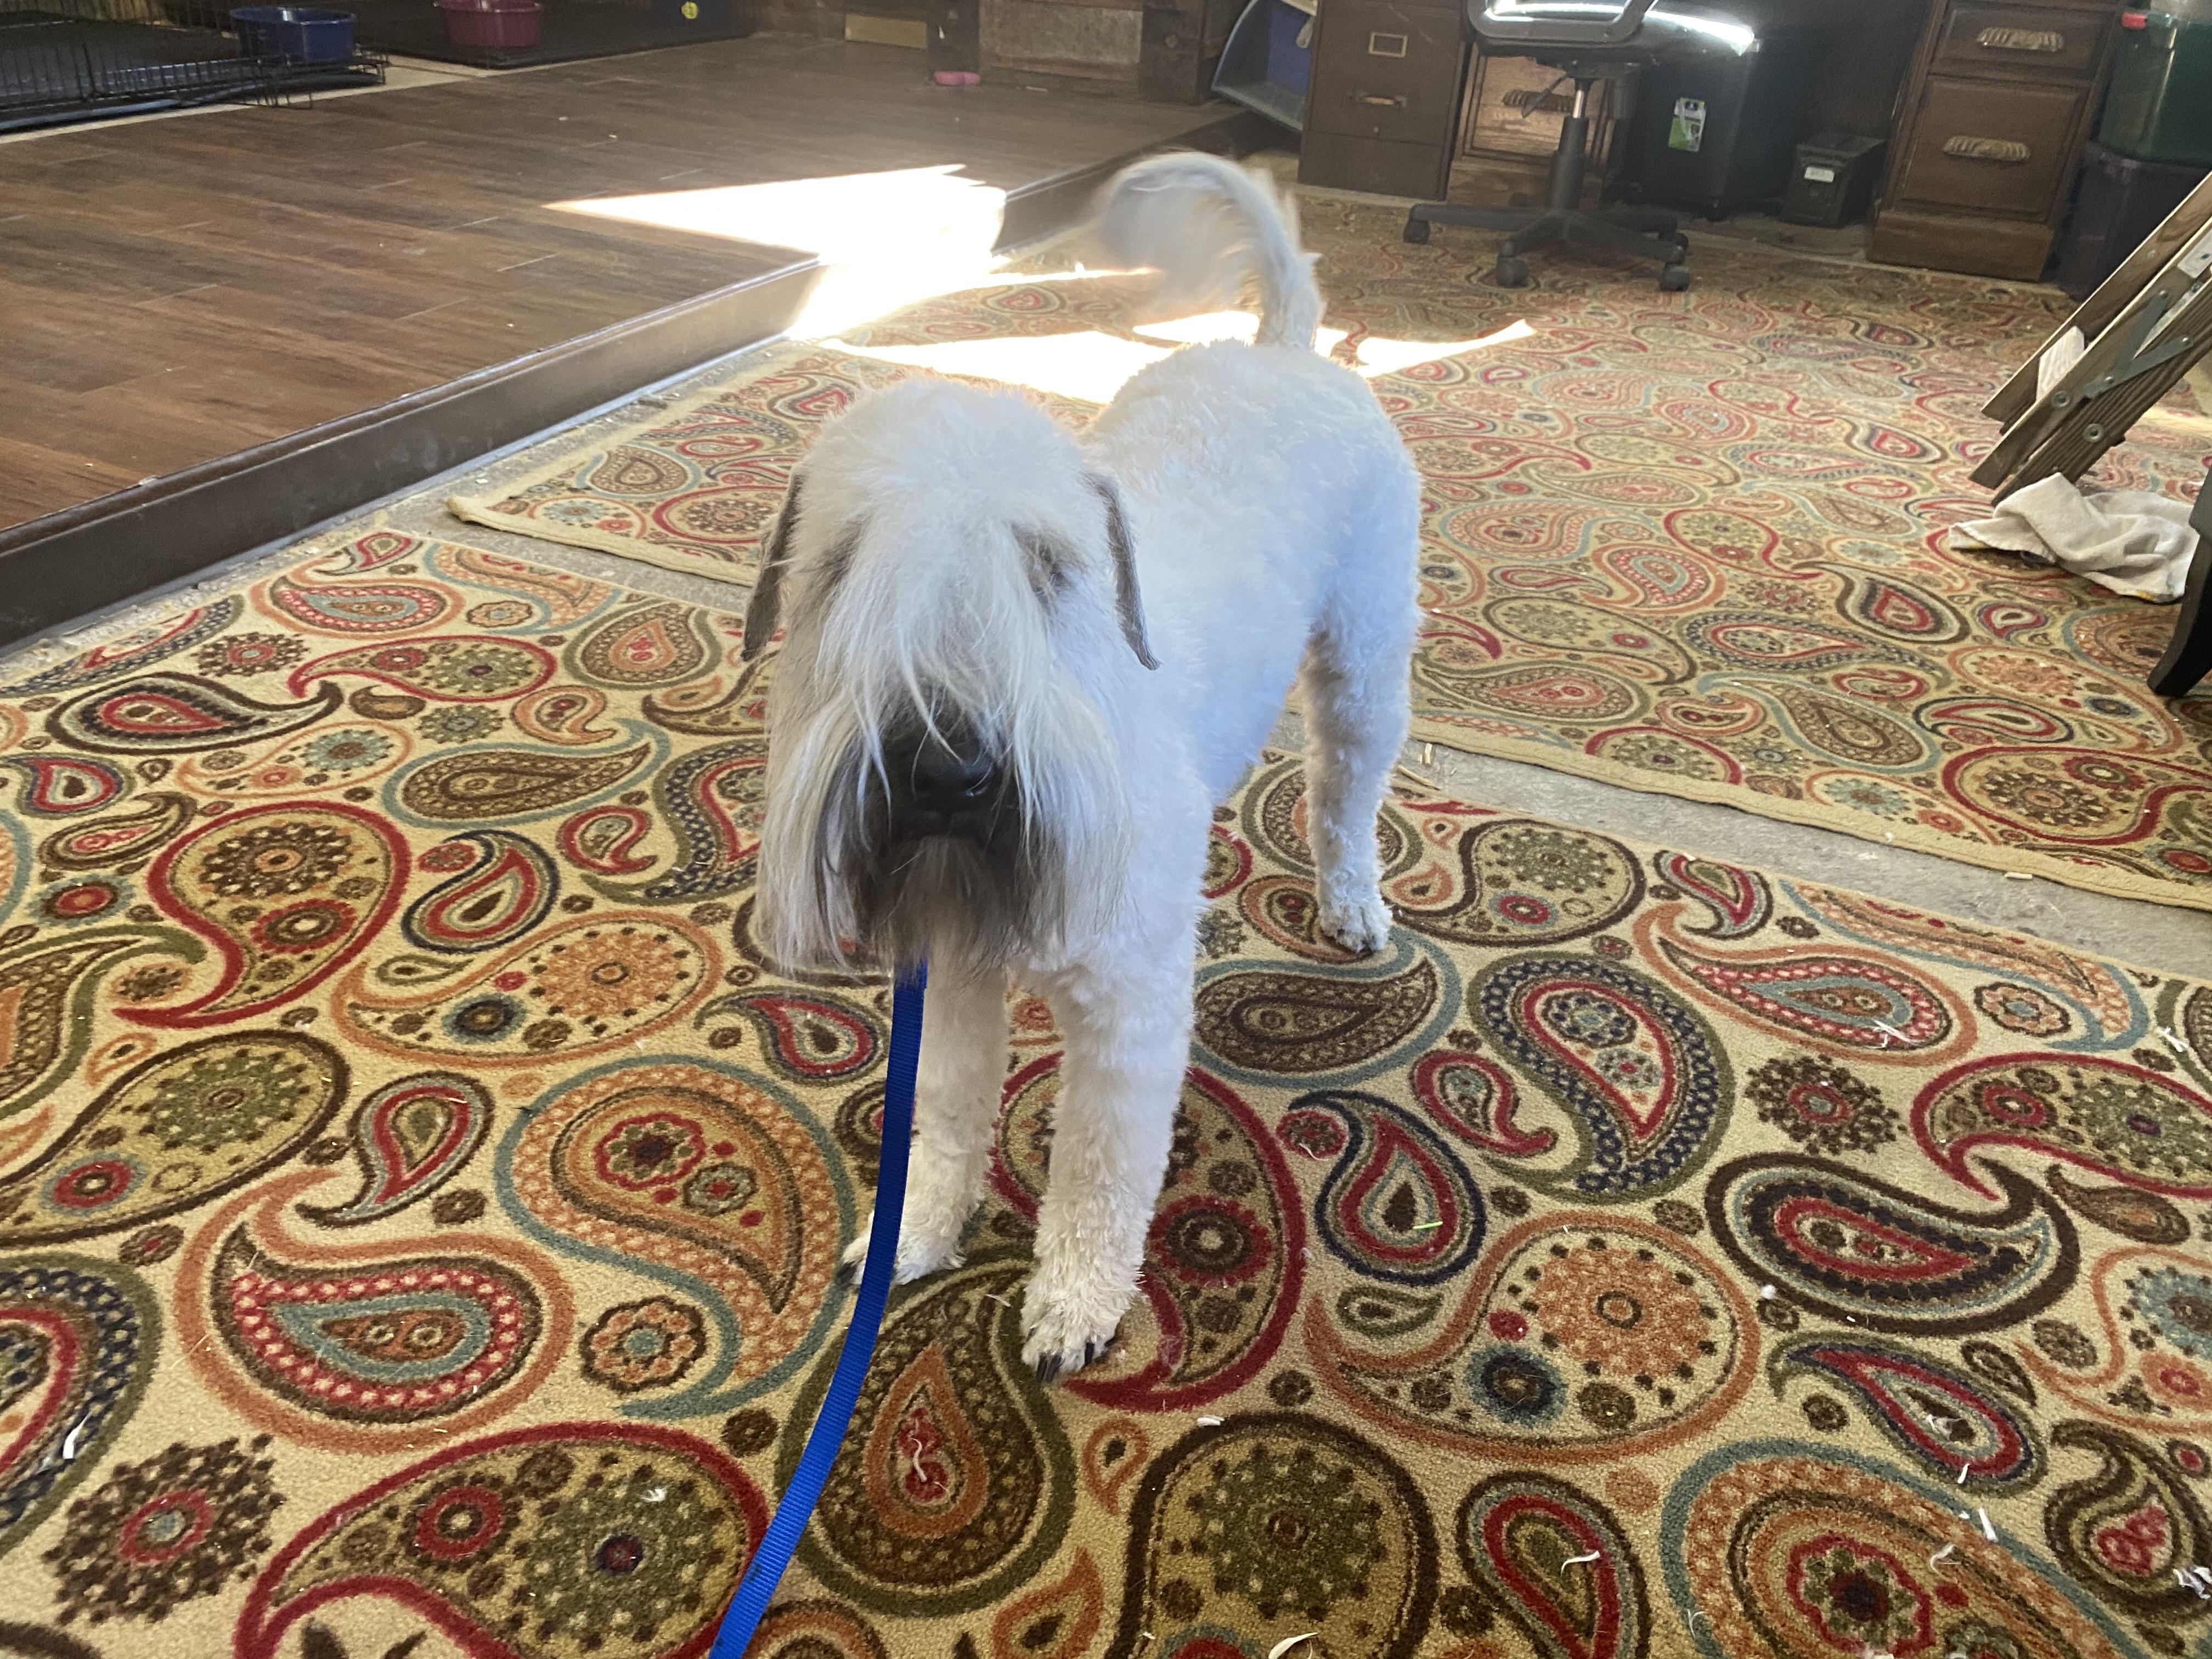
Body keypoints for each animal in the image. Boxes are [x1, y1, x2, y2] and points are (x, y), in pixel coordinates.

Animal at [741, 152, 1420, 1379]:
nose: (948, 771)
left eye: (1050, 566)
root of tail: (1284, 348)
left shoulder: (1128, 1013)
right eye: (842, 565)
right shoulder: (950, 975)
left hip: (1365, 660)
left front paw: (1073, 1304)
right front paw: (916, 1232)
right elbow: (945, 1115)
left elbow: (1102, 1170)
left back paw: (1352, 903)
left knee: (1346, 793)